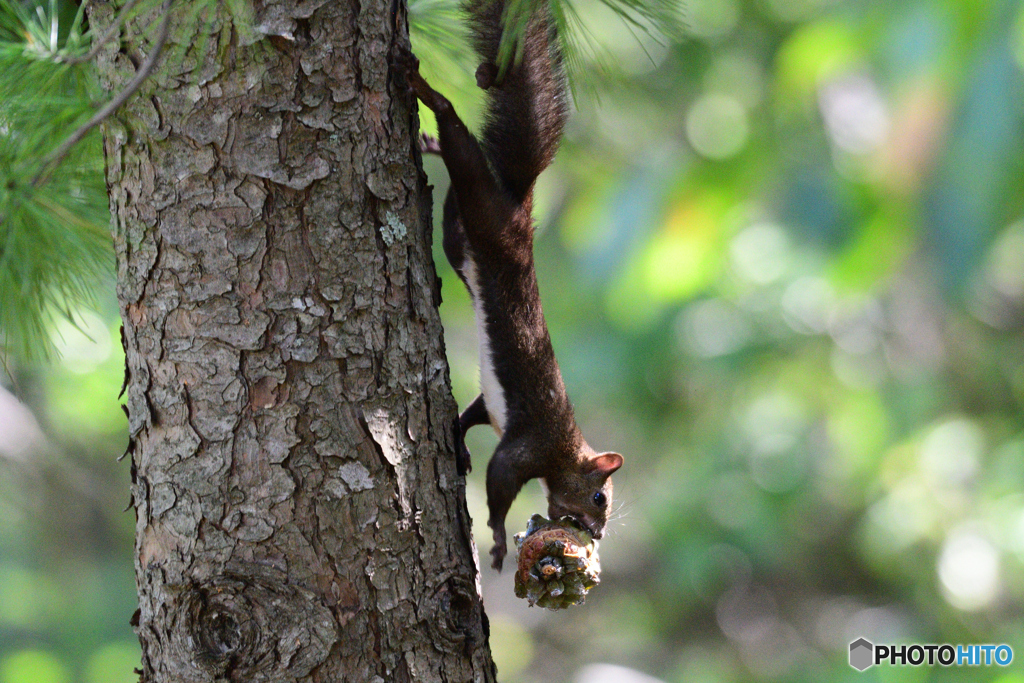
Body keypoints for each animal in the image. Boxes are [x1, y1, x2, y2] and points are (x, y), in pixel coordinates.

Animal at [393, 0, 618, 573]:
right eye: (599, 497)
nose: (598, 534)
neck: (567, 447)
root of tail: (521, 205)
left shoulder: (496, 411)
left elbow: (472, 412)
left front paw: (455, 435)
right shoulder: (532, 444)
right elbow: (499, 482)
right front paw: (494, 537)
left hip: (462, 235)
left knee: (454, 209)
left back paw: (428, 144)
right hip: (486, 210)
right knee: (463, 145)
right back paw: (427, 97)